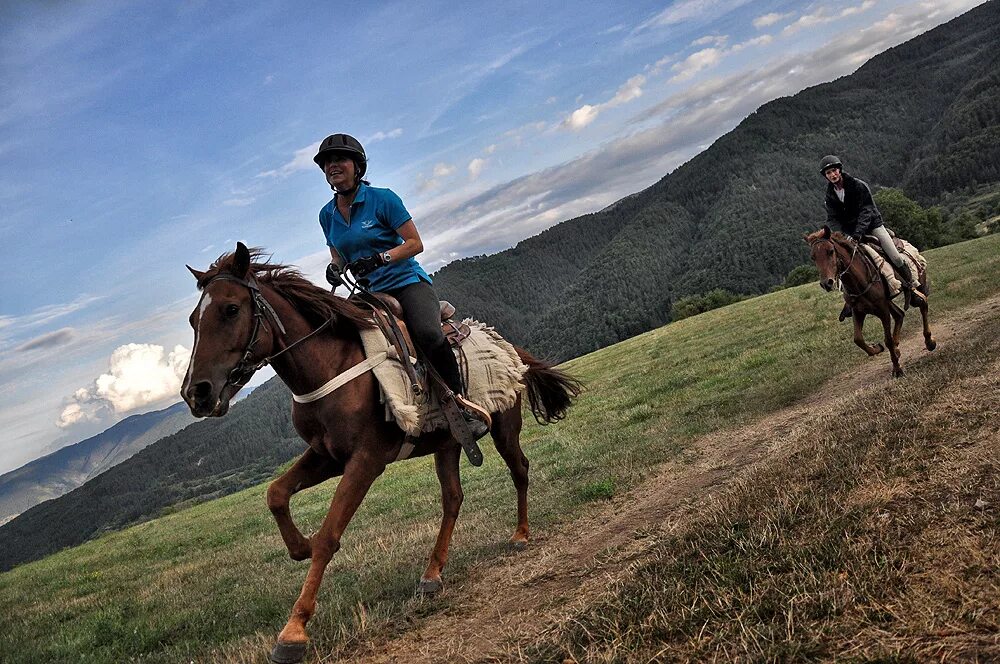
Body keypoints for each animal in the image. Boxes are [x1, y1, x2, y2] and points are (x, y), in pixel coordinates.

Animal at [184, 244, 584, 664]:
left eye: (231, 309)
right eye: (194, 319)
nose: (196, 393)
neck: (330, 364)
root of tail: (506, 345)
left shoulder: (367, 460)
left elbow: (329, 536)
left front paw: (293, 631)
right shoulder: (327, 455)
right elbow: (275, 494)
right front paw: (299, 547)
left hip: (504, 426)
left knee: (519, 469)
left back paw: (520, 534)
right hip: (447, 444)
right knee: (453, 499)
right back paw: (432, 573)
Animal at [804, 227, 936, 376]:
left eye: (830, 251)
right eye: (813, 257)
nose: (827, 283)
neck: (859, 281)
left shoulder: (882, 309)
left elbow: (887, 340)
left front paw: (897, 369)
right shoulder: (858, 311)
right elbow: (858, 339)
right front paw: (877, 348)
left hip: (918, 284)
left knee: (922, 304)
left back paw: (929, 342)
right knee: (899, 315)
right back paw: (897, 349)